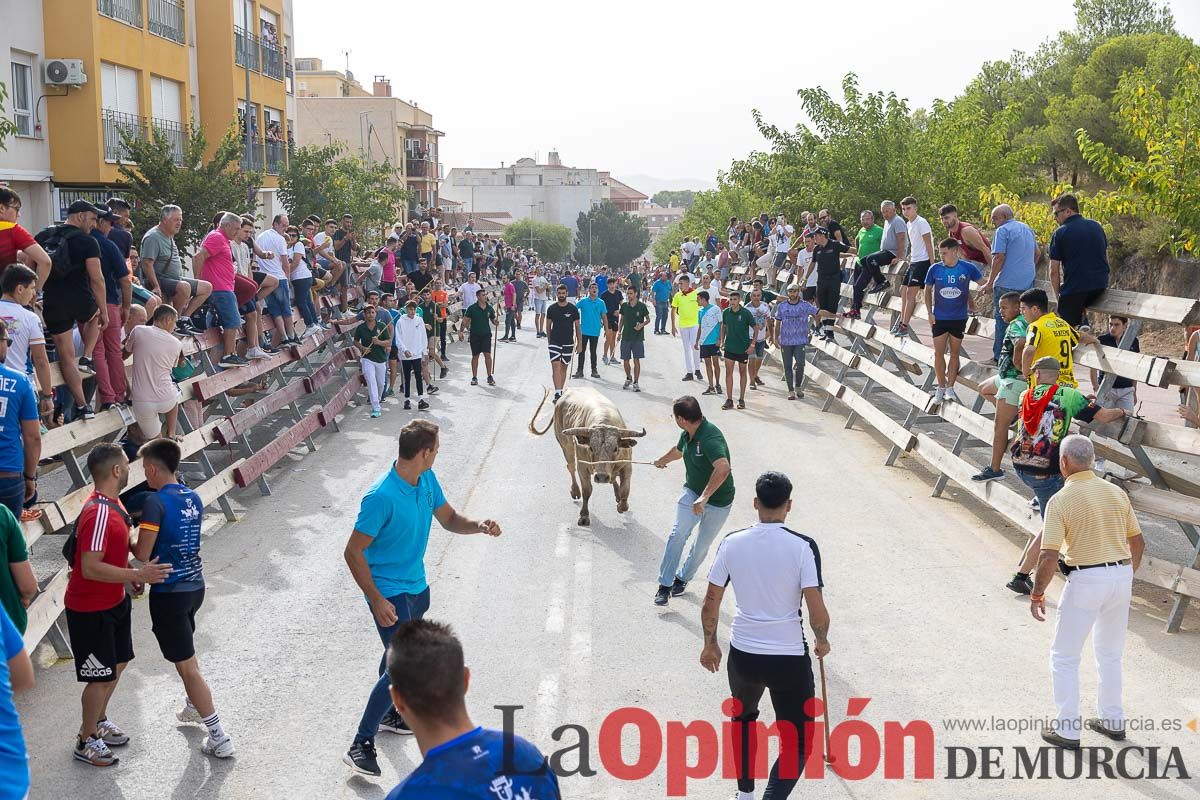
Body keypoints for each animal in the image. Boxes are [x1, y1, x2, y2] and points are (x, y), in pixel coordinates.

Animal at [530, 386, 648, 525]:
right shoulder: (583, 467)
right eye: (591, 447)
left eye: (615, 448)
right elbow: (587, 491)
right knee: (571, 467)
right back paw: (575, 491)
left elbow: (625, 490)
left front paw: (621, 505)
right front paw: (584, 516)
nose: (601, 477)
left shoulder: (627, 466)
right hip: (566, 446)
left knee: (613, 479)